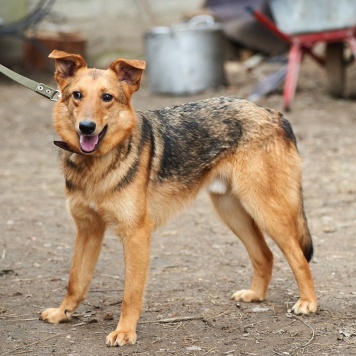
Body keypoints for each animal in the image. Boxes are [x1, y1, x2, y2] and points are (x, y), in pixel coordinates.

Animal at [39, 50, 318, 348]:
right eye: (77, 95)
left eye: (107, 97)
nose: (86, 128)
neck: (95, 166)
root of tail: (274, 114)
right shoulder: (87, 229)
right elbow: (75, 280)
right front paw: (62, 313)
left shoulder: (136, 234)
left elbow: (130, 293)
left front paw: (125, 332)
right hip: (233, 213)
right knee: (265, 255)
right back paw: (256, 295)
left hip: (266, 211)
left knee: (298, 257)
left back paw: (308, 302)